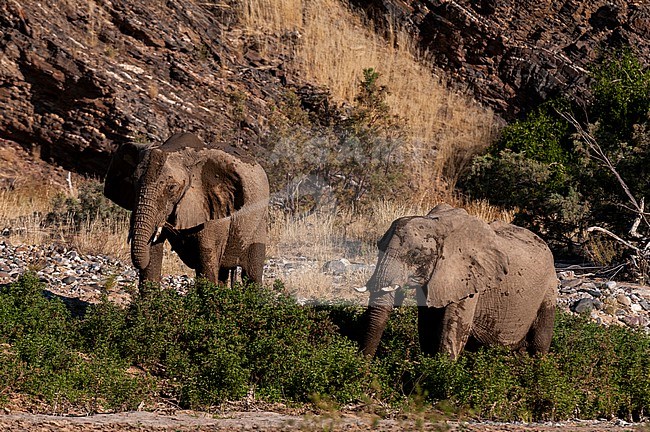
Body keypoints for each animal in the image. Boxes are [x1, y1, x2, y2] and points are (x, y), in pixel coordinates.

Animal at [103, 132, 268, 286]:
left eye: (172, 187)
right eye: (133, 182)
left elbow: (206, 267)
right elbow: (152, 256)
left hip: (258, 224)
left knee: (251, 274)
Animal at [356, 204, 556, 360]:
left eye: (415, 255)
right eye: (378, 246)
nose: (365, 368)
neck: (438, 225)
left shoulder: (468, 278)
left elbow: (452, 331)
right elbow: (428, 326)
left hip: (549, 287)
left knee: (539, 345)